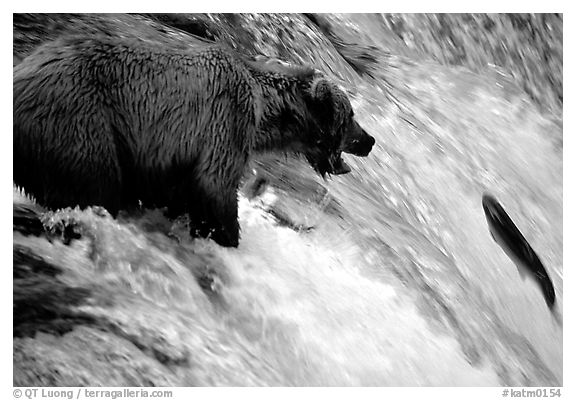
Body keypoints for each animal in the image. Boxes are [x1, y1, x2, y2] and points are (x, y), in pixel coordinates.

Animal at [13, 36, 376, 247]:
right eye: (350, 116)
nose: (370, 140)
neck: (264, 112)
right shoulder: (226, 120)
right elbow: (213, 186)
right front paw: (227, 238)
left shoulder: (167, 157)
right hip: (79, 120)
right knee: (97, 184)